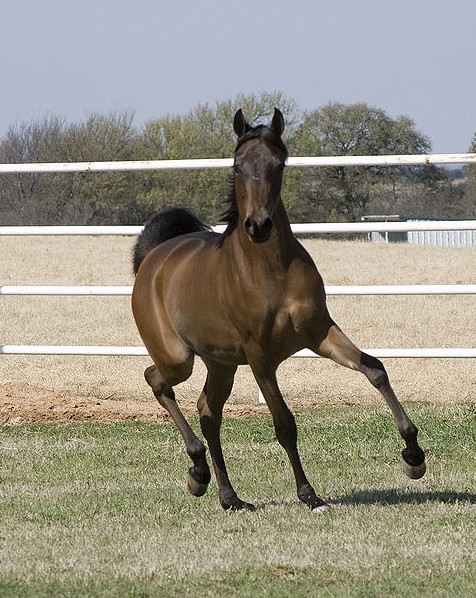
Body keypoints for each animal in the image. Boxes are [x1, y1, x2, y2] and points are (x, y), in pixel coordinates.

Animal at [131, 106, 428, 510]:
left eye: (278, 164)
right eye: (238, 164)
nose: (258, 225)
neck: (271, 271)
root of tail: (154, 258)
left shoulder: (319, 332)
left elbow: (375, 370)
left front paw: (414, 457)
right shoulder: (260, 356)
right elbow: (284, 423)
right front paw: (309, 494)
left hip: (221, 362)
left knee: (208, 411)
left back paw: (227, 495)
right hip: (179, 357)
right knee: (157, 380)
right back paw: (198, 472)